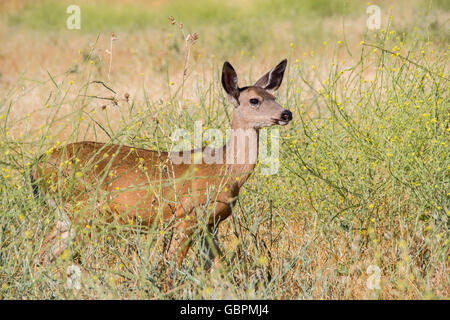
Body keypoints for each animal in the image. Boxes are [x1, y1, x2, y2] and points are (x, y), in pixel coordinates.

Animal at [32, 59, 292, 276]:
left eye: (274, 96)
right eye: (254, 100)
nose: (286, 113)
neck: (224, 170)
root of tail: (37, 167)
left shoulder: (210, 224)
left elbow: (219, 268)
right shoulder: (188, 215)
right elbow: (172, 264)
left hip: (67, 215)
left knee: (43, 254)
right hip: (84, 208)